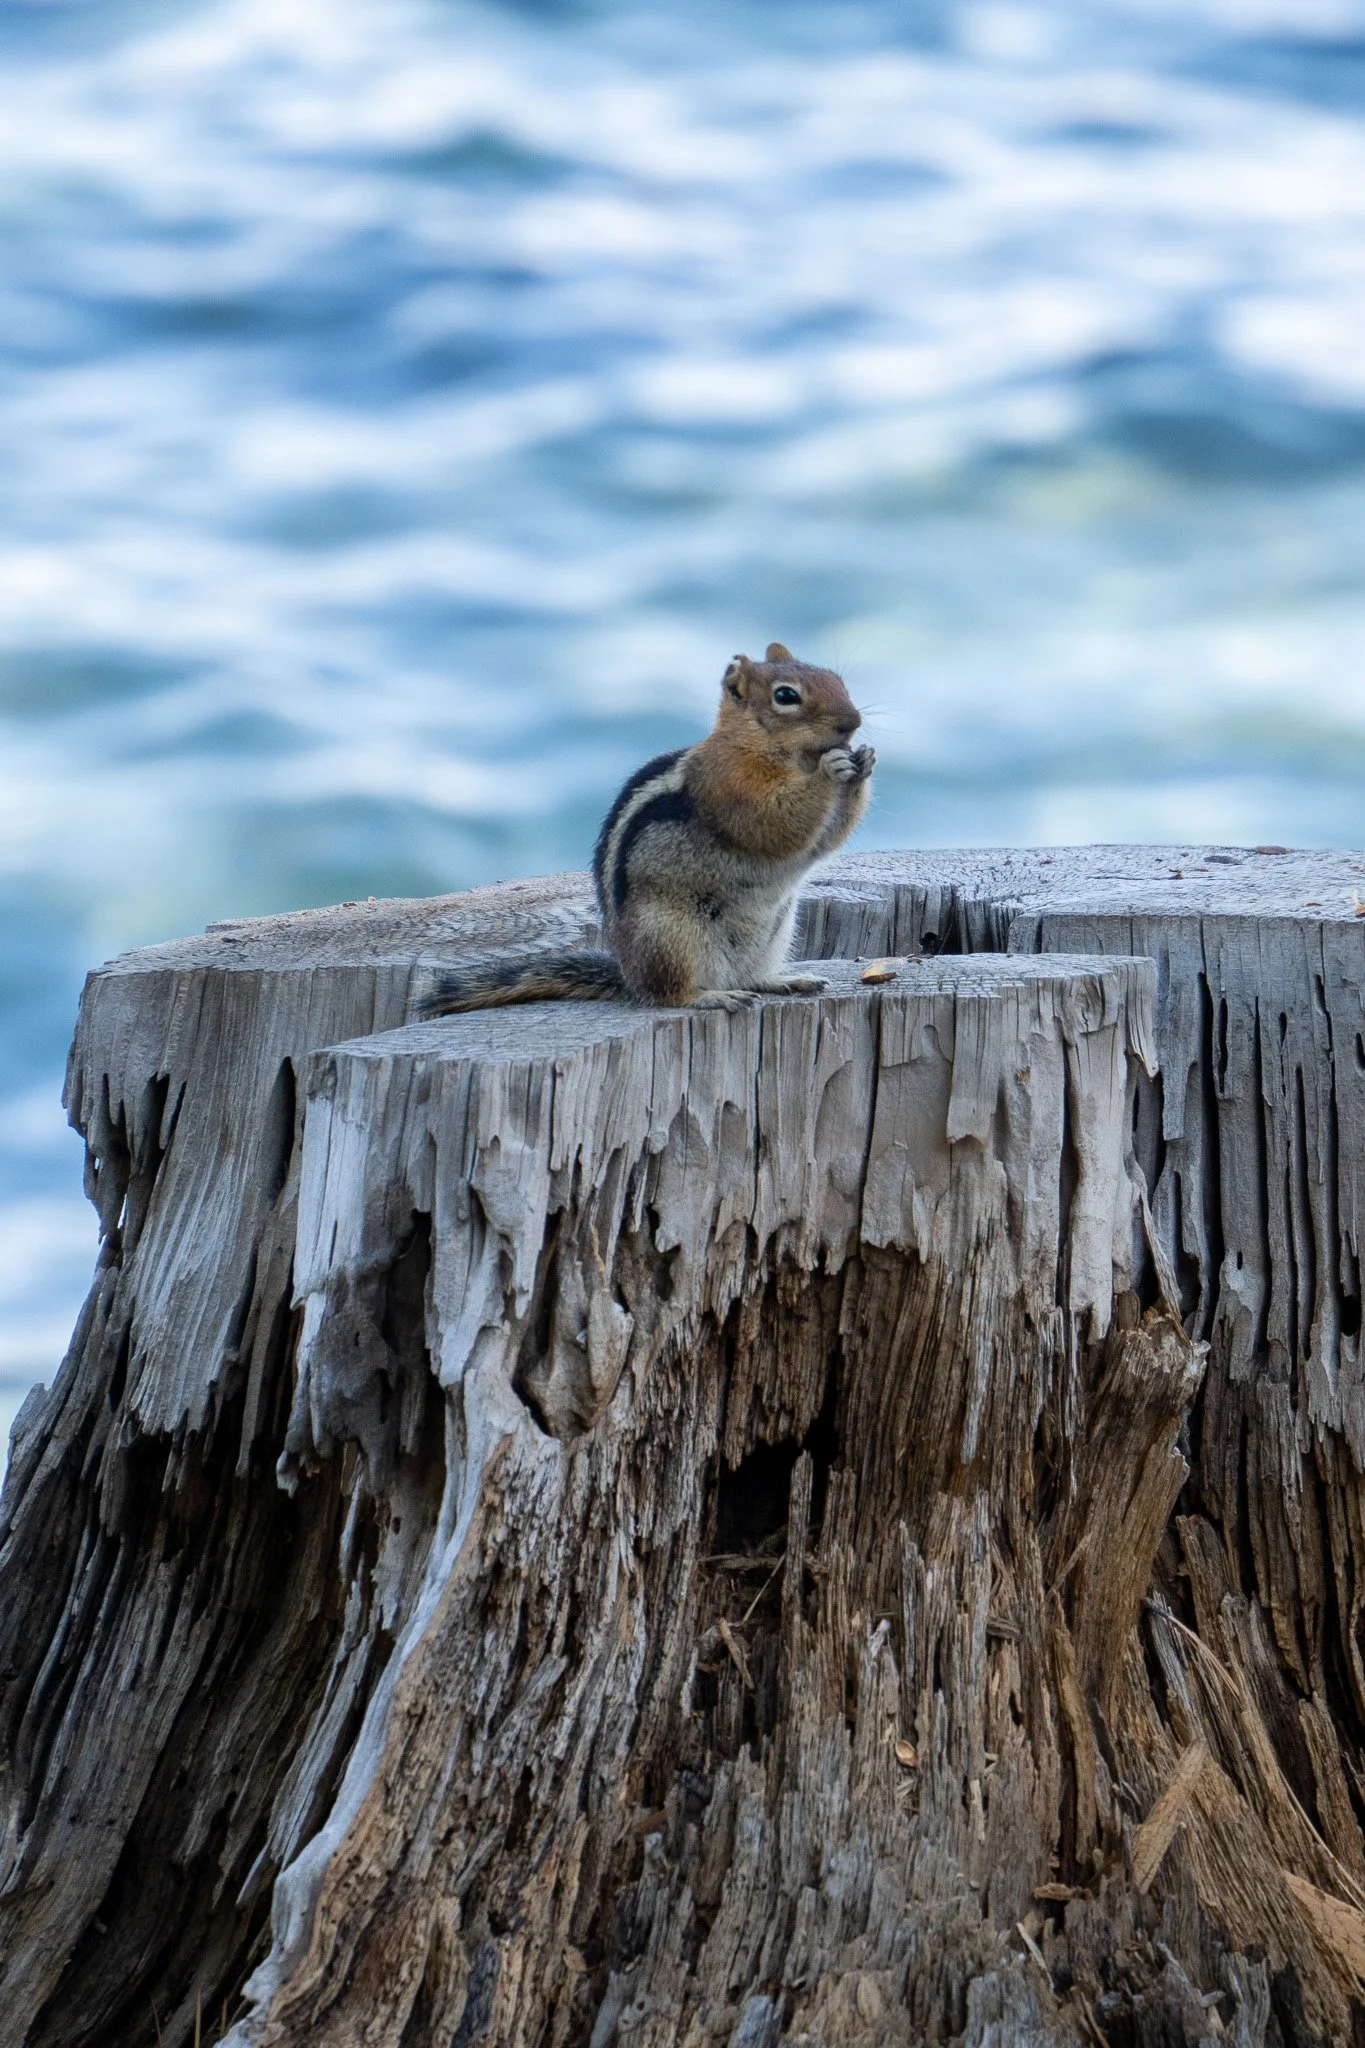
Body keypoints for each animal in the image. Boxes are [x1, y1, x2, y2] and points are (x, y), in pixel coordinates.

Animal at [424, 643, 875, 1015]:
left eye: (838, 681)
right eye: (785, 696)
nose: (854, 721)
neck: (761, 744)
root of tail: (629, 979)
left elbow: (824, 840)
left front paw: (864, 763)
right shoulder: (729, 786)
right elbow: (777, 825)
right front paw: (831, 769)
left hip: (773, 935)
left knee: (748, 977)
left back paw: (784, 981)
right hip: (671, 936)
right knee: (668, 995)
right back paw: (712, 996)